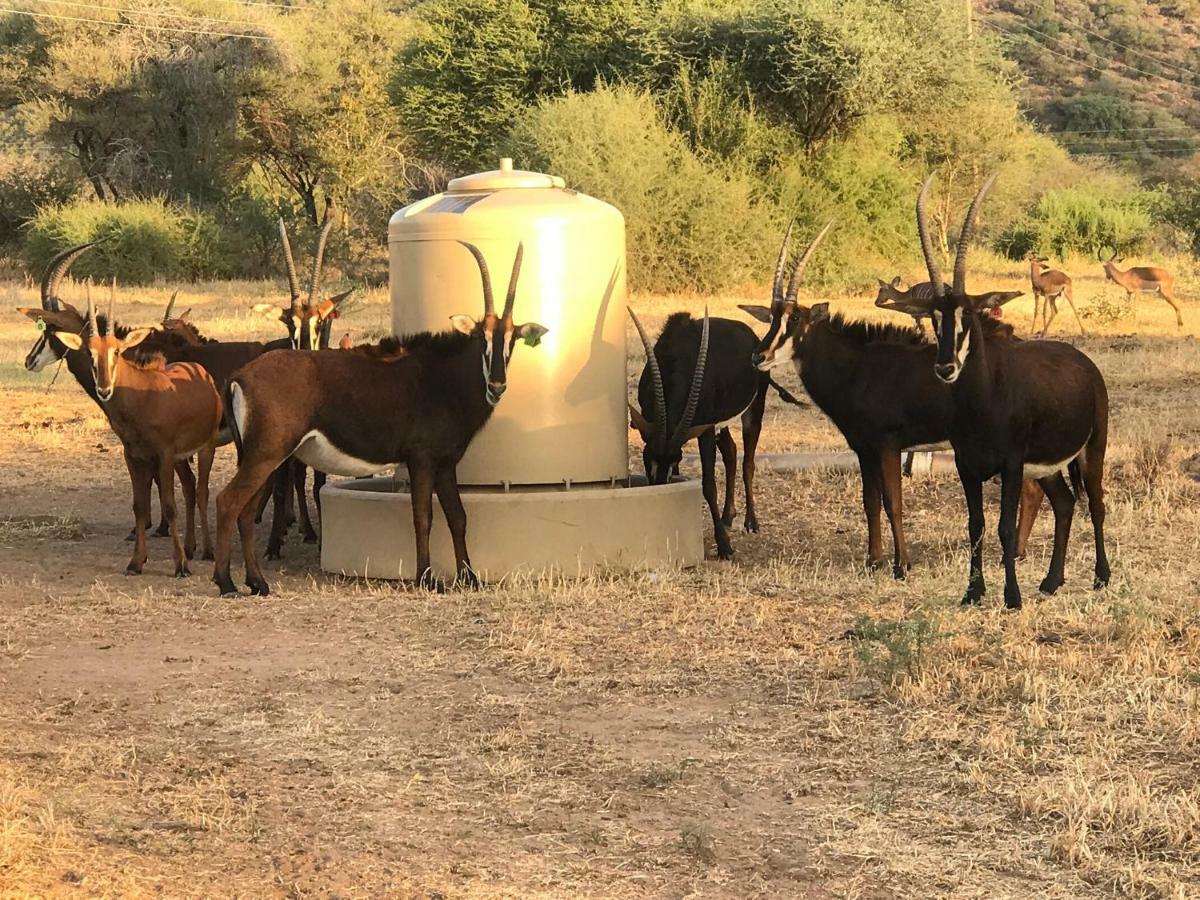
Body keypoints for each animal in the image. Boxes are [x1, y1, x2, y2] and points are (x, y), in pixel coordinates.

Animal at [52, 296, 225, 578]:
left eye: (116, 351)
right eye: (90, 353)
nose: (104, 389)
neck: (142, 397)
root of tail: (200, 371)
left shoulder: (163, 455)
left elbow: (169, 506)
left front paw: (180, 566)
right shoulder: (133, 456)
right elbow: (139, 506)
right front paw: (136, 561)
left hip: (205, 447)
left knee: (201, 491)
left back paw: (207, 551)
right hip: (180, 458)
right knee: (189, 487)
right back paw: (190, 548)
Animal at [213, 241, 549, 600]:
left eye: (512, 339)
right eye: (480, 338)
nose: (497, 385)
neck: (442, 378)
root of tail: (239, 377)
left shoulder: (446, 463)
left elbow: (458, 517)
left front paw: (469, 578)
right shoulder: (421, 459)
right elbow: (423, 516)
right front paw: (427, 579)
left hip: (264, 458)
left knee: (246, 511)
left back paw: (257, 582)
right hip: (266, 455)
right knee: (228, 502)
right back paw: (226, 582)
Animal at [744, 224, 1046, 578]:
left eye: (794, 320)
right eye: (771, 318)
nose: (758, 356)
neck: (856, 367)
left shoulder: (888, 444)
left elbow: (893, 502)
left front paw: (901, 565)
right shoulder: (863, 449)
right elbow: (870, 502)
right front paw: (873, 560)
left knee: (1031, 488)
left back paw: (1014, 554)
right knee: (1033, 488)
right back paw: (1017, 553)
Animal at [916, 174, 1104, 614]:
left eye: (967, 313)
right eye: (934, 317)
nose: (945, 368)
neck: (982, 400)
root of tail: (1084, 362)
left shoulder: (1011, 465)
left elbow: (1003, 527)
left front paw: (1012, 596)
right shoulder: (967, 467)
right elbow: (976, 525)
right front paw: (972, 593)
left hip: (1092, 450)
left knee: (1097, 503)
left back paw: (1101, 578)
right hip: (1048, 467)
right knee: (1066, 503)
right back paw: (1051, 582)